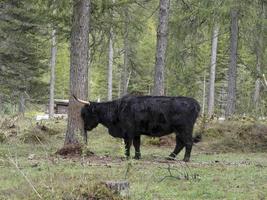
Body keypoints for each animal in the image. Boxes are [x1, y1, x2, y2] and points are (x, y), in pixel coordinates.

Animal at [73, 94, 201, 162]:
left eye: (84, 113)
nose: (85, 127)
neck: (118, 109)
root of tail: (194, 102)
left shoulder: (128, 132)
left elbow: (128, 144)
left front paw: (126, 156)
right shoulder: (136, 133)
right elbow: (136, 144)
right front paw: (137, 156)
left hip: (184, 129)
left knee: (188, 142)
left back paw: (185, 159)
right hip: (178, 131)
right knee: (180, 143)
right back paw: (170, 157)